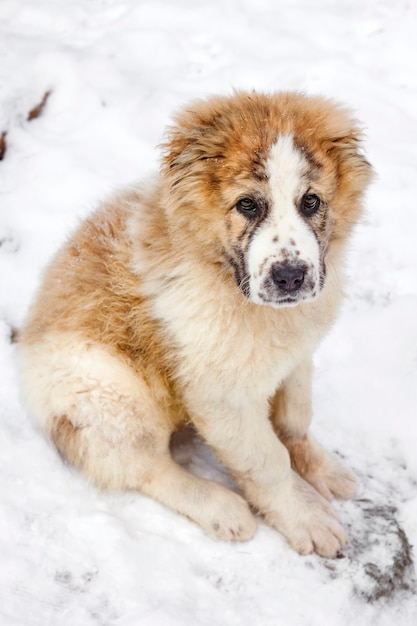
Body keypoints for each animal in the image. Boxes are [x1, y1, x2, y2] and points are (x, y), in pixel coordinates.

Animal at [17, 91, 372, 556]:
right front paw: (305, 516)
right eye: (248, 205)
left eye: (310, 201)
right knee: (145, 469)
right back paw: (221, 509)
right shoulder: (221, 395)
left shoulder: (297, 357)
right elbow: (267, 461)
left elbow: (295, 420)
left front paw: (321, 469)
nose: (291, 277)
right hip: (111, 397)